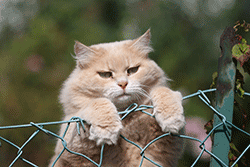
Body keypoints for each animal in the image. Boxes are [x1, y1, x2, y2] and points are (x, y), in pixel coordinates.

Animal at [49, 29, 186, 166]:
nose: (123, 84)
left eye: (132, 70)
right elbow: (98, 102)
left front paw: (171, 117)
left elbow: (162, 90)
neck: (124, 115)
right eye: (105, 75)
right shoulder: (70, 150)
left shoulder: (167, 146)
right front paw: (107, 129)